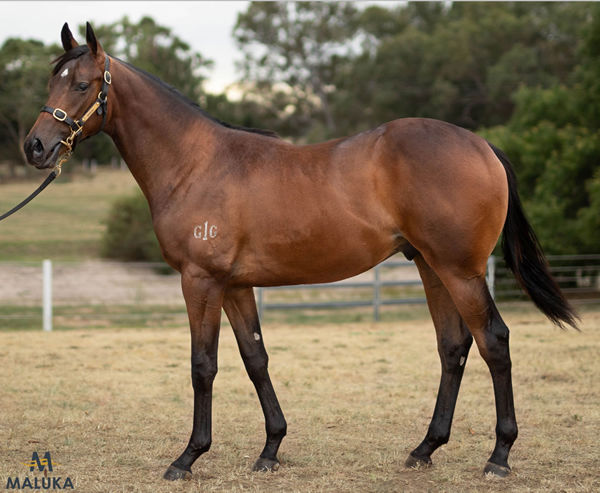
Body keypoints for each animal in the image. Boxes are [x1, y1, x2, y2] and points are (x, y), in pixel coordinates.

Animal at [23, 24, 576, 480]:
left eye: (82, 84)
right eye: (53, 81)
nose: (35, 147)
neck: (195, 163)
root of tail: (482, 145)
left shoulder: (200, 280)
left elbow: (203, 365)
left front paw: (188, 457)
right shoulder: (235, 285)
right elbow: (255, 358)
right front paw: (270, 449)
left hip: (461, 271)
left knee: (493, 342)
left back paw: (499, 456)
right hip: (431, 268)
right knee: (453, 348)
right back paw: (425, 449)